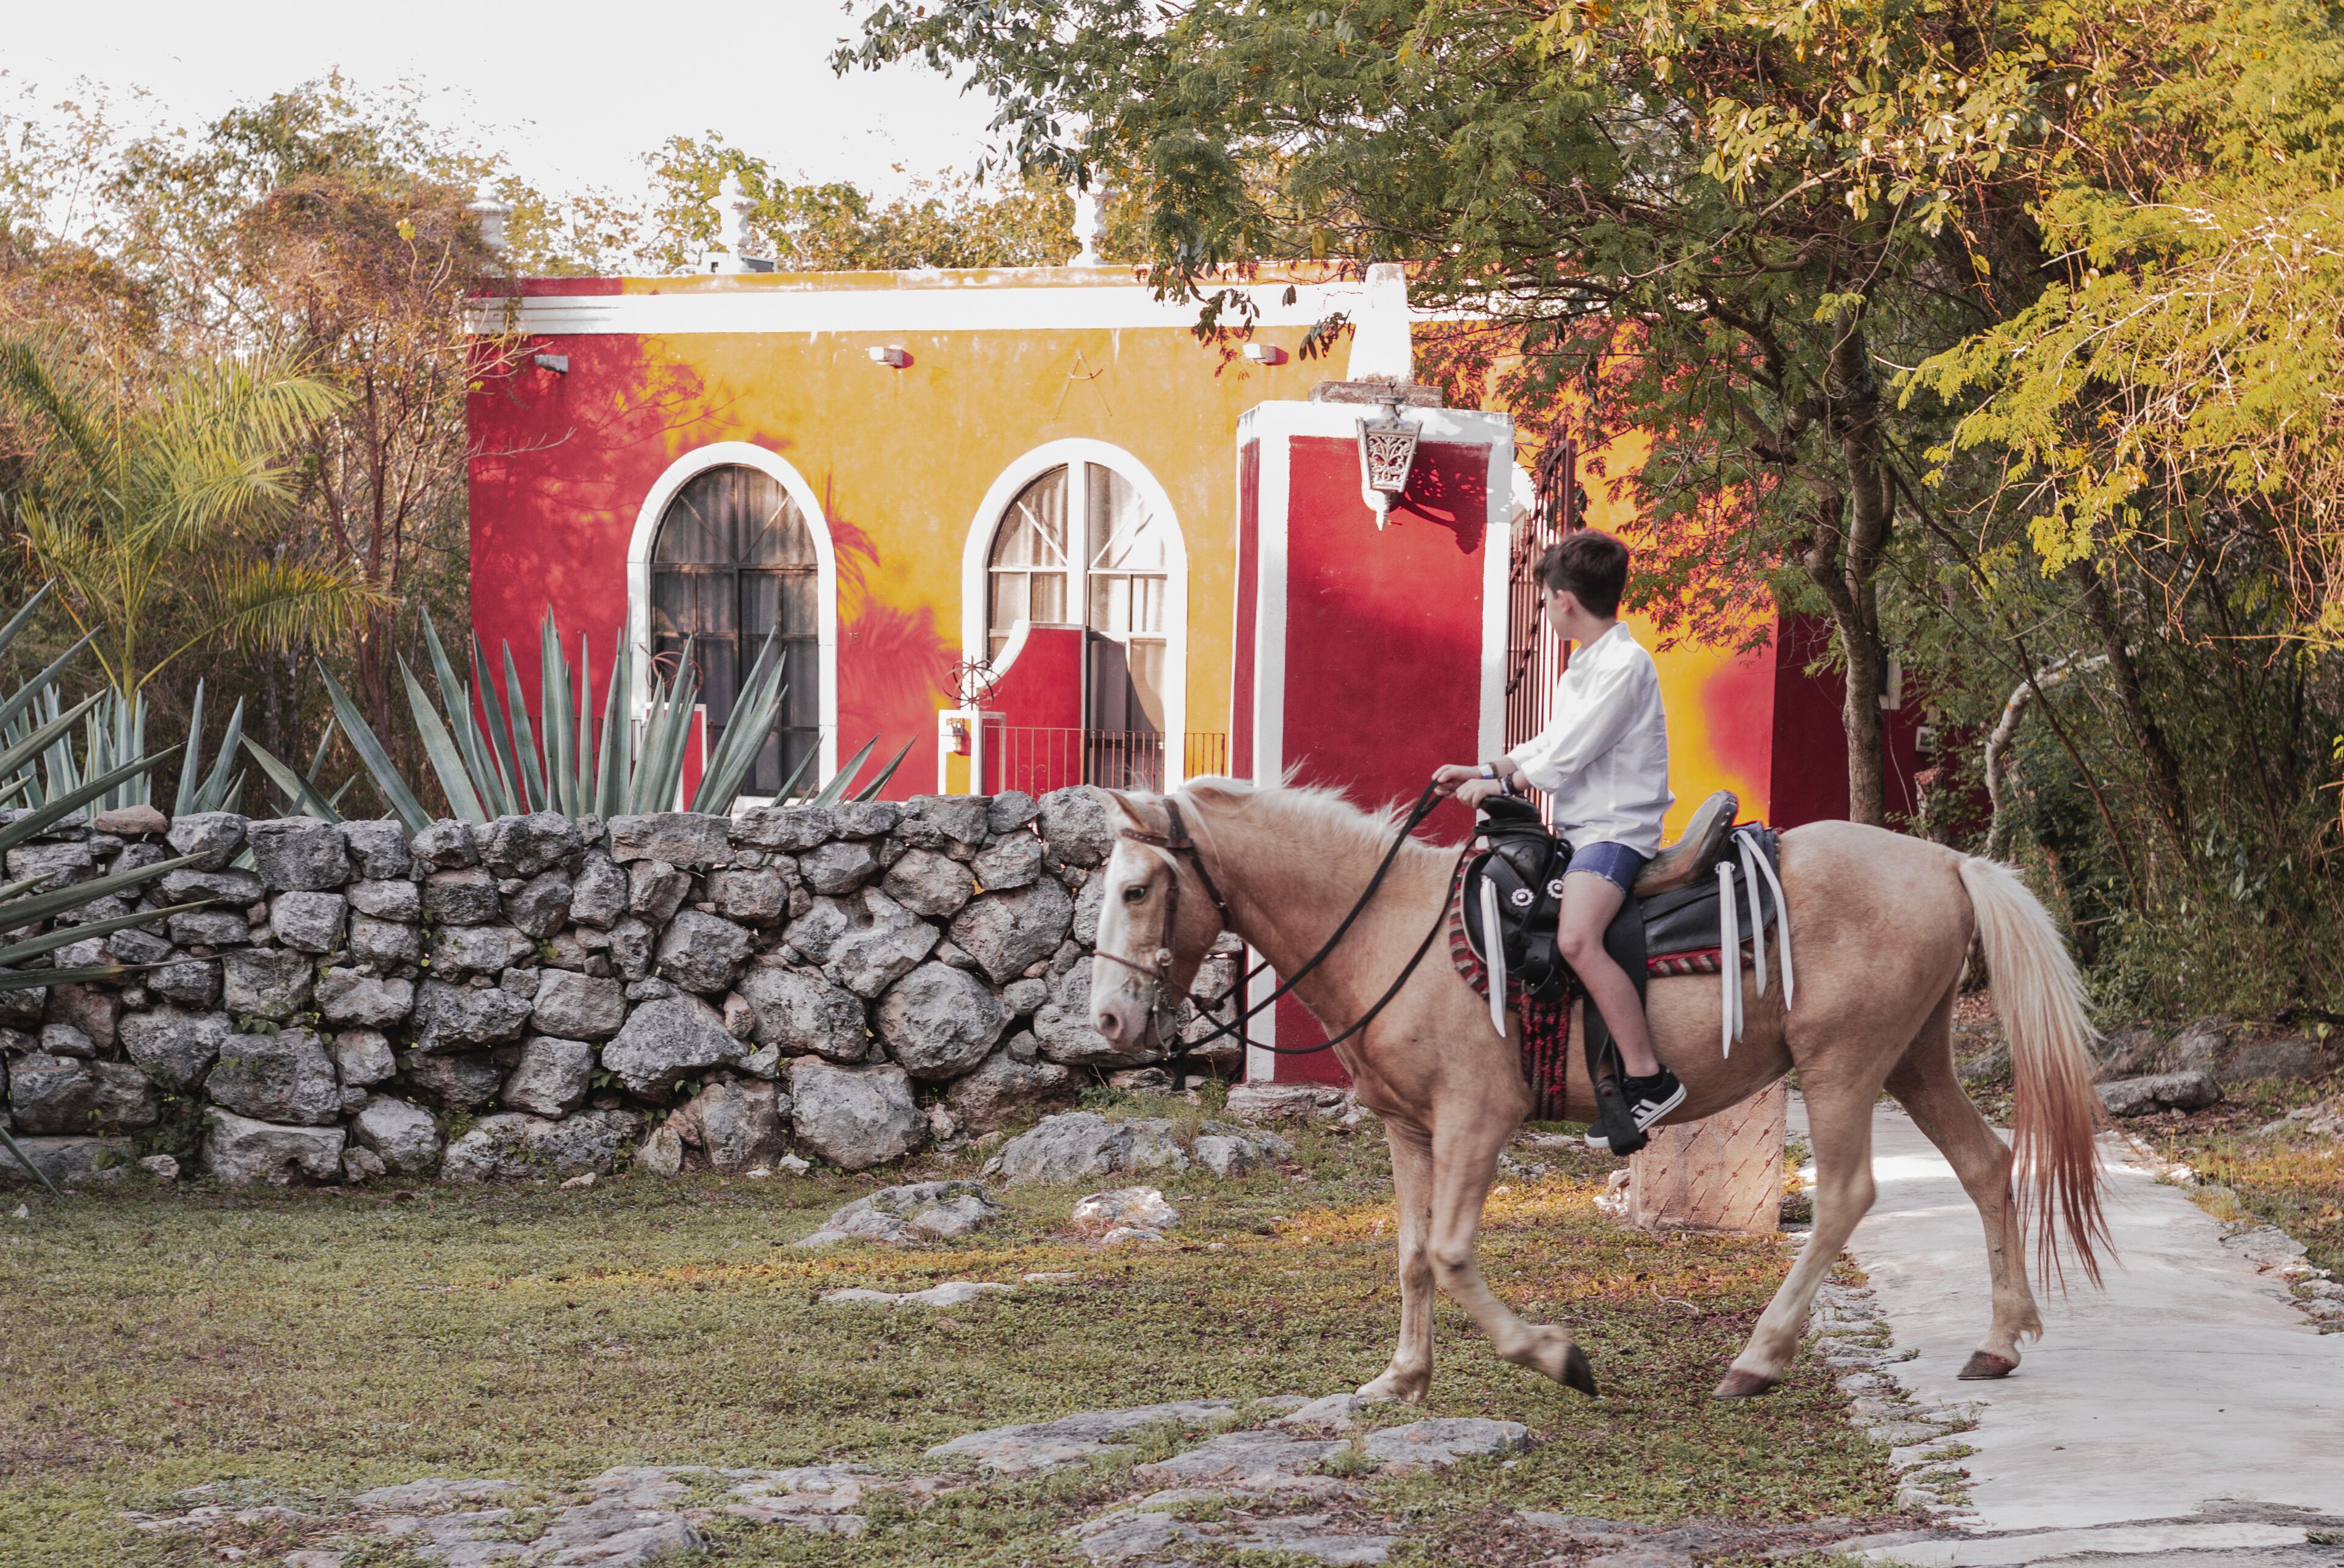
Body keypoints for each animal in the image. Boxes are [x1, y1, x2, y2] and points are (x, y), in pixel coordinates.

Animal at [1086, 777, 2109, 1402]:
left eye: (1137, 889)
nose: (1106, 1023)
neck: (1391, 930)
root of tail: (1948, 862)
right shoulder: (1409, 1130)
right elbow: (1412, 1257)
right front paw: (1402, 1379)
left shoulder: (1477, 1120)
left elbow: (1451, 1254)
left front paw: (1555, 1356)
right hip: (1914, 1060)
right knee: (1987, 1165)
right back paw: (2000, 1338)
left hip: (1843, 1067)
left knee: (1847, 1197)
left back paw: (1758, 1359)